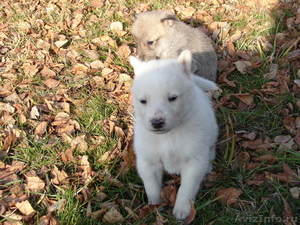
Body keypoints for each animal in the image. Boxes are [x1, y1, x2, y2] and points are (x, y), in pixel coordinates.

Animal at [129, 49, 218, 220]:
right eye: (143, 101)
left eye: (172, 98)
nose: (157, 122)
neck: (168, 136)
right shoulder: (148, 162)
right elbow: (152, 187)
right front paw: (156, 206)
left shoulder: (194, 160)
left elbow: (187, 188)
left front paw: (182, 209)